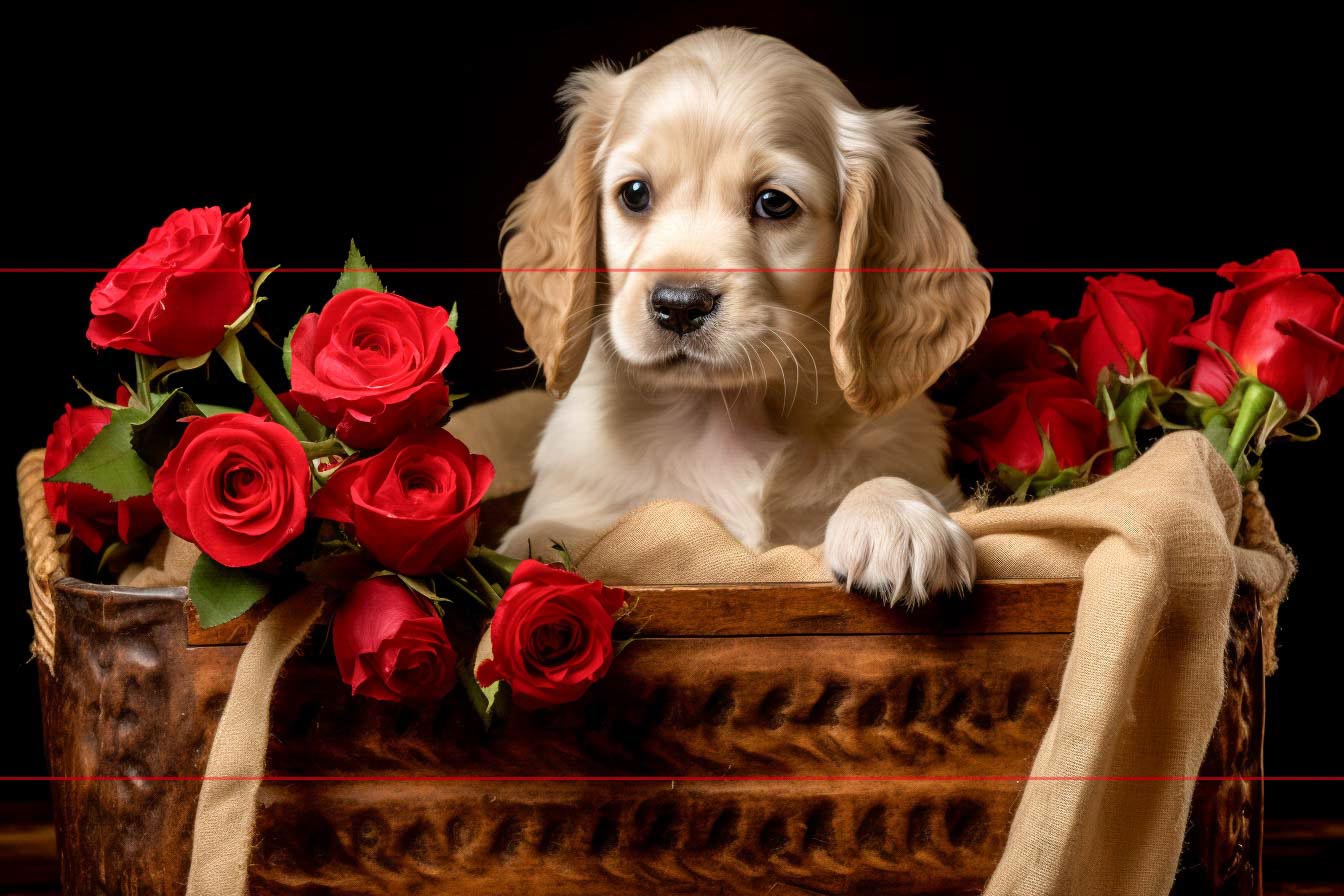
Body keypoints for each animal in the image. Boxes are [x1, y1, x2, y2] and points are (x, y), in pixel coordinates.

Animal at [499, 28, 994, 607]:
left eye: (774, 203)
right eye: (635, 193)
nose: (680, 305)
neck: (722, 414)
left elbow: (883, 478)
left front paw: (896, 517)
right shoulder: (561, 511)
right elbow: (587, 537)